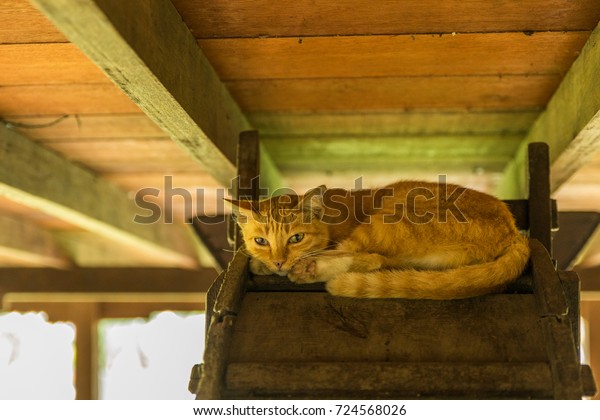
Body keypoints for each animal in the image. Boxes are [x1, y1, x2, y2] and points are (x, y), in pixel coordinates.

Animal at [230, 180, 528, 298]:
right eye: (261, 242)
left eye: (296, 238)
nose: (279, 262)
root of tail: (514, 231)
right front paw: (263, 262)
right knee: (382, 261)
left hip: (390, 218)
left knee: (368, 256)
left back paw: (313, 268)